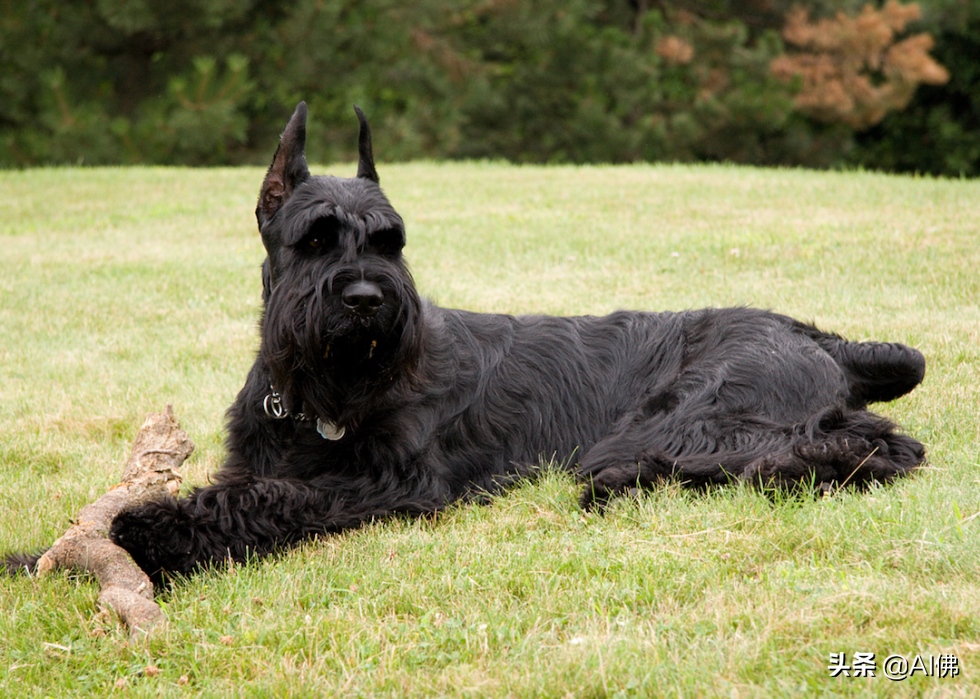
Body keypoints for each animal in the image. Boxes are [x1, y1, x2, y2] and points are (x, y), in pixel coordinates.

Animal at [7, 104, 928, 584]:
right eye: (316, 238)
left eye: (391, 241)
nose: (369, 300)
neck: (316, 398)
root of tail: (820, 337)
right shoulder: (261, 457)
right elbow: (239, 487)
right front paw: (38, 554)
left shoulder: (390, 481)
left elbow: (264, 502)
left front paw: (148, 535)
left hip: (692, 419)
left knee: (867, 448)